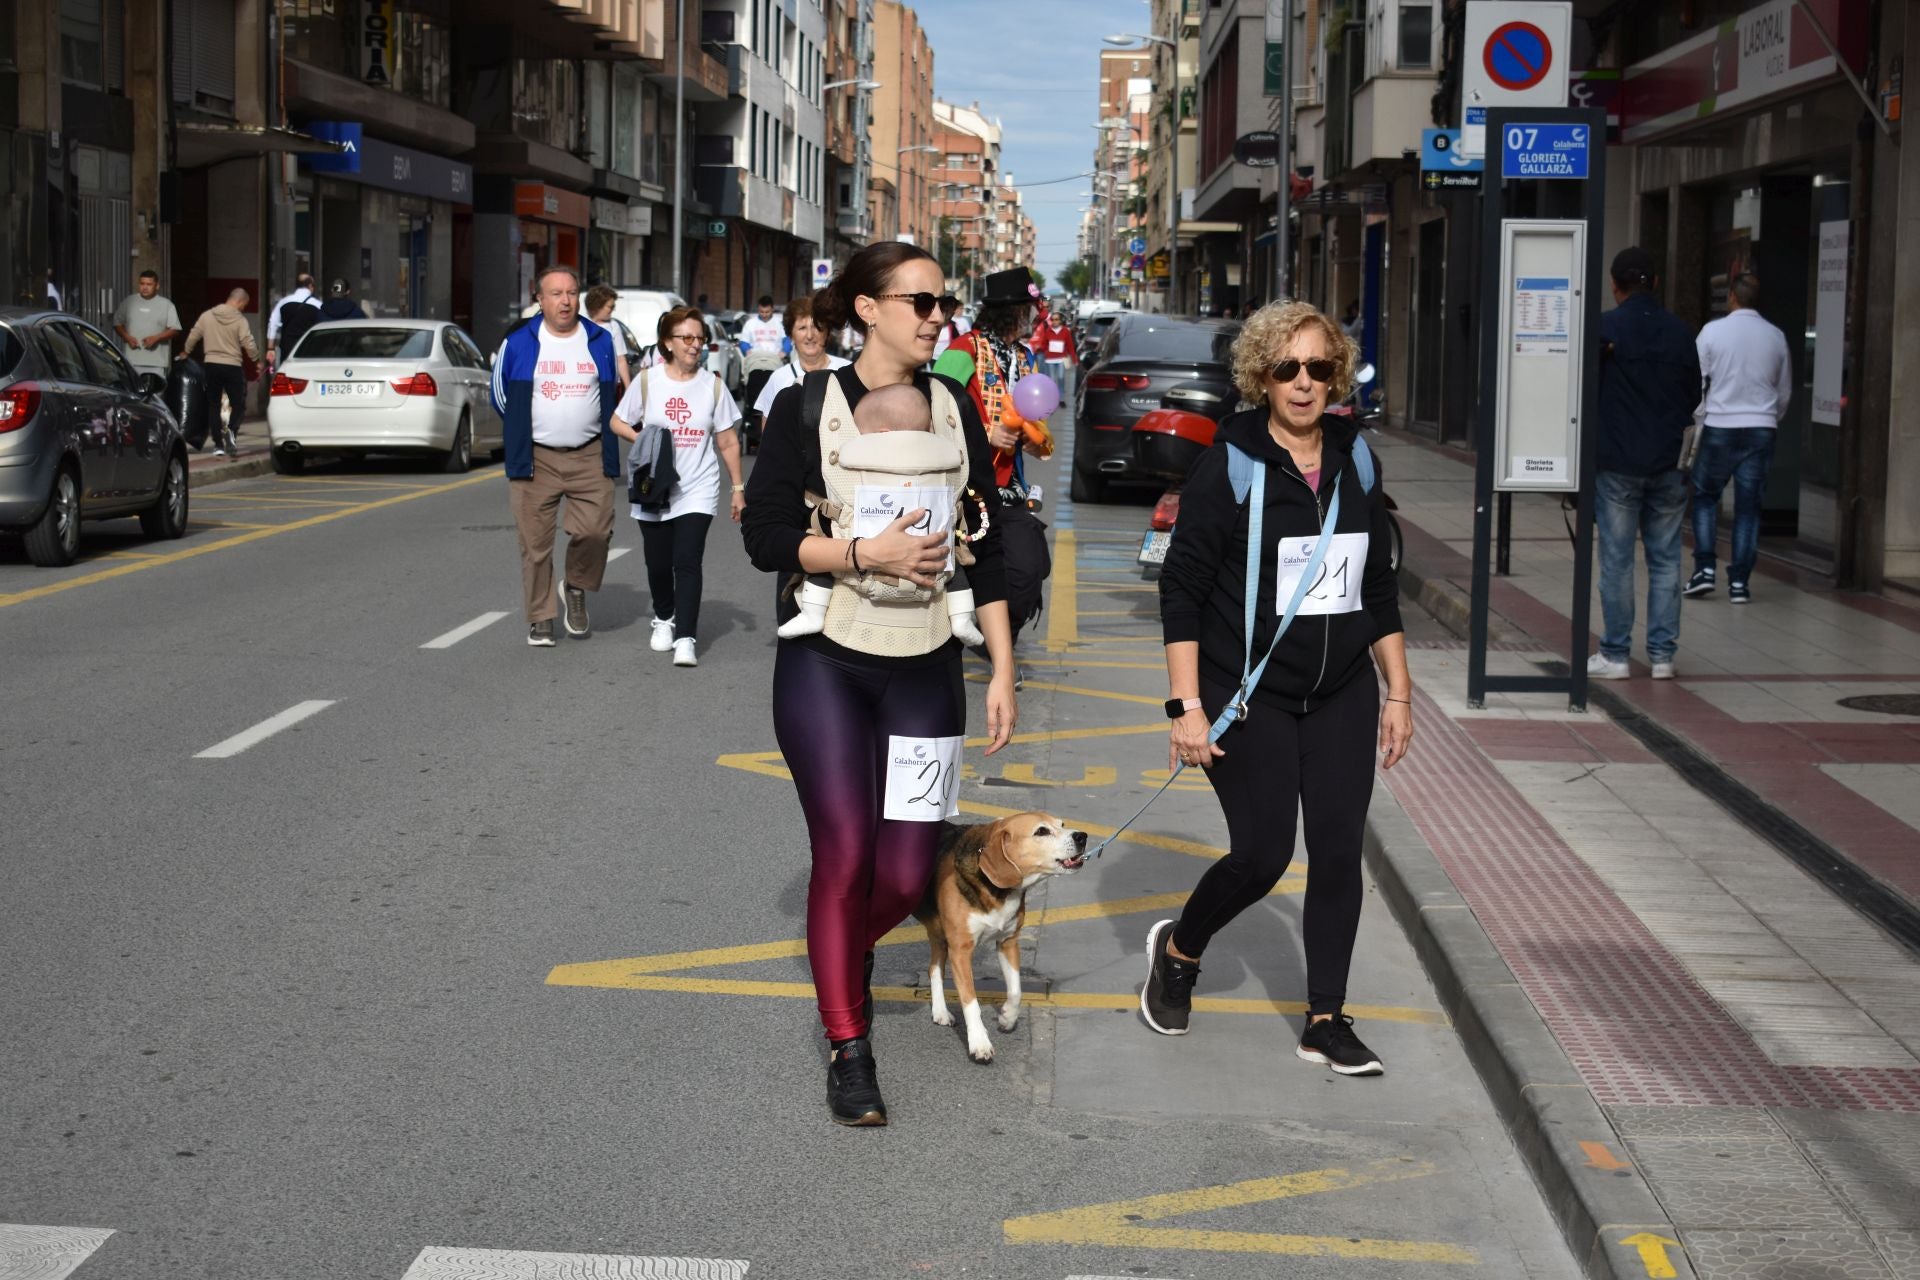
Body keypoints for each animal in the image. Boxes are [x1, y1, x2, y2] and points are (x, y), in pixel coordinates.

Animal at [910, 817, 1090, 1066]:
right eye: (1041, 831)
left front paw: (1007, 1018)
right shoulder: (961, 951)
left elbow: (1016, 991)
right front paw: (979, 1043)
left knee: (934, 967)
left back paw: (940, 1012)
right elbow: (971, 1002)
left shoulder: (1008, 942)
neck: (998, 891)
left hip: (939, 935)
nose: (1082, 836)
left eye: (1061, 824)